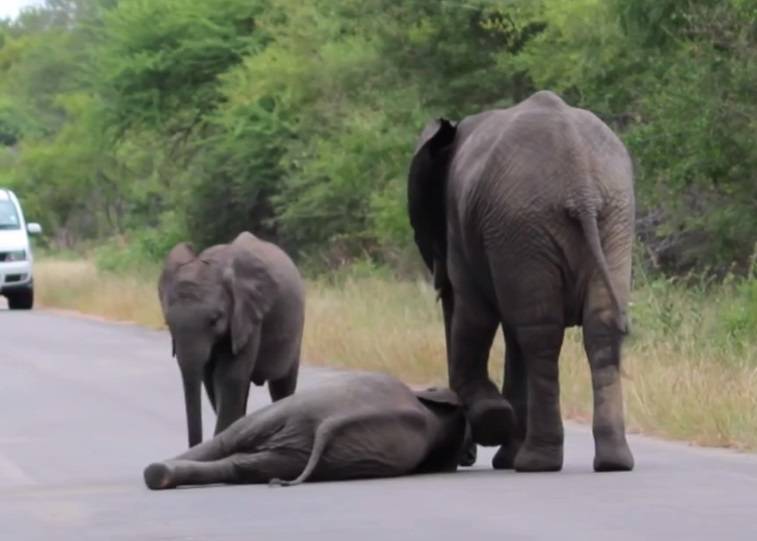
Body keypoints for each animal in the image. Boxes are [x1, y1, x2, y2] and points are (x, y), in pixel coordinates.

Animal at [143, 372, 466, 490]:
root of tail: (329, 422)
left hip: (298, 442)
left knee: (235, 456)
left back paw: (158, 475)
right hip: (296, 420)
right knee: (232, 444)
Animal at [159, 230, 304, 446]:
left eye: (214, 320)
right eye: (168, 324)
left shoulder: (248, 316)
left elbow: (229, 377)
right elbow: (211, 380)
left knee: (282, 385)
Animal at [408, 90, 632, 470]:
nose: (465, 456)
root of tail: (581, 184)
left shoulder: (461, 223)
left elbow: (474, 314)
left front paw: (492, 422)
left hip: (528, 222)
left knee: (538, 335)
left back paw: (535, 462)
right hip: (604, 220)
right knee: (594, 328)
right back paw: (612, 462)